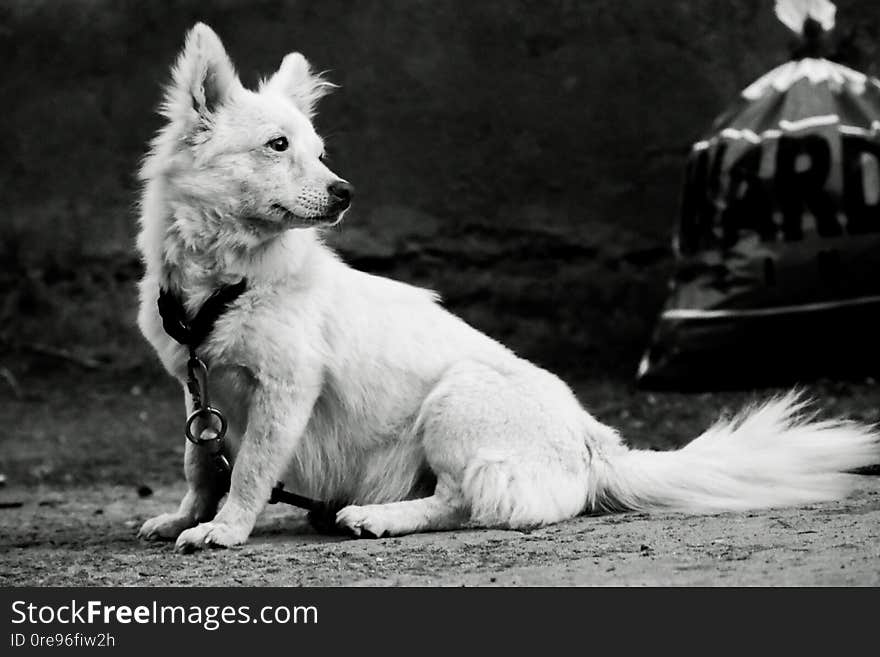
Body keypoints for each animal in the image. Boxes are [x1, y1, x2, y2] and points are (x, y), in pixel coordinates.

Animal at [138, 23, 880, 552]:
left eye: (318, 153)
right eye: (277, 146)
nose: (345, 191)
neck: (230, 280)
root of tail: (595, 444)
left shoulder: (285, 391)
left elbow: (250, 469)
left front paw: (225, 529)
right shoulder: (197, 389)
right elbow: (200, 461)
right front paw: (183, 515)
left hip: (454, 401)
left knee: (467, 501)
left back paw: (380, 517)